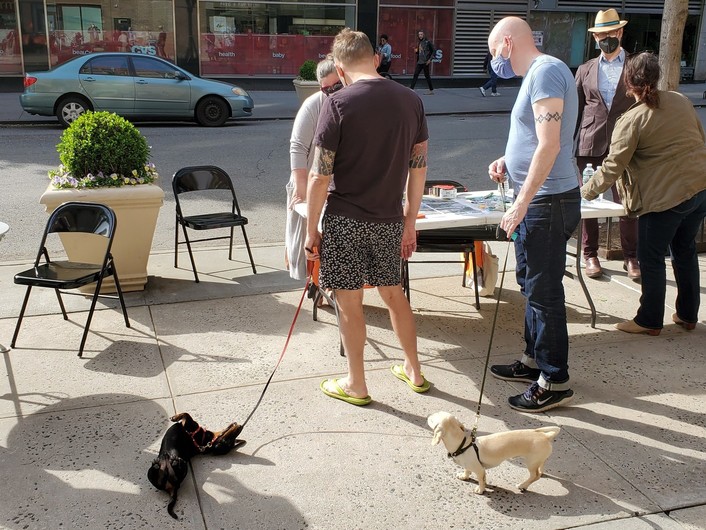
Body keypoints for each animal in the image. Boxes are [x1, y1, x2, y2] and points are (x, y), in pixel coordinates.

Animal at [427, 411, 560, 494]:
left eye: (433, 418)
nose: (428, 415)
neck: (463, 444)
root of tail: (546, 436)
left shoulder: (480, 470)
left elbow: (481, 480)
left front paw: (480, 490)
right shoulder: (469, 466)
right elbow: (467, 470)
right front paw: (464, 476)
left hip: (531, 463)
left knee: (534, 475)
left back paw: (523, 485)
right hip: (539, 460)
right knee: (540, 470)